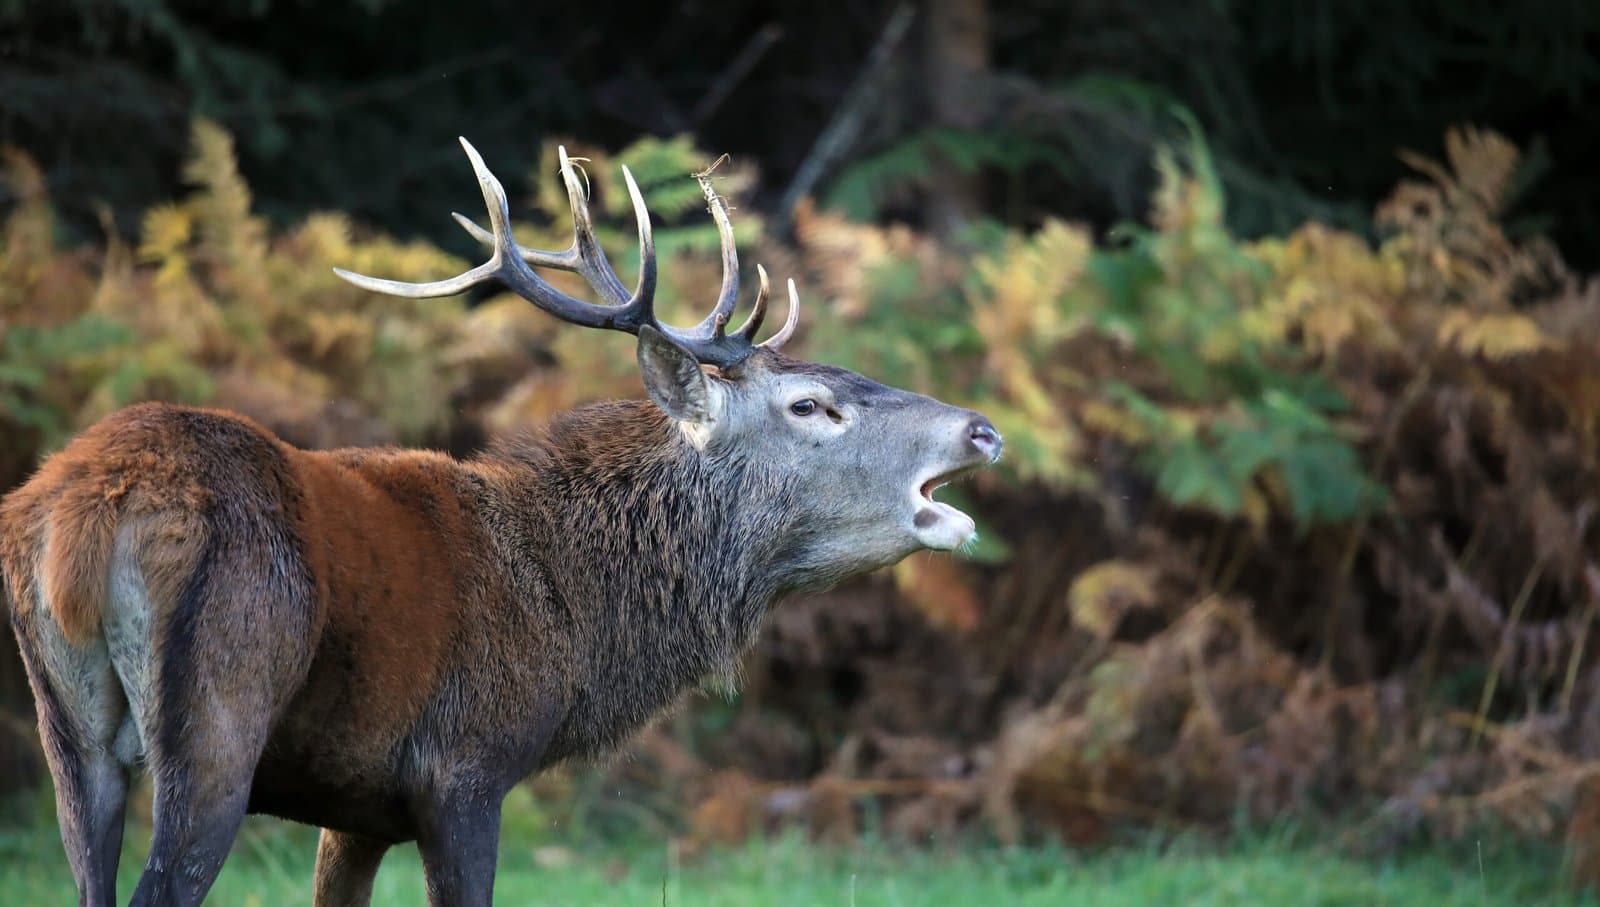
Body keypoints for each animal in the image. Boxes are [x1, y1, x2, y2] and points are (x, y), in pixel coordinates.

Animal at [0, 137, 1001, 907]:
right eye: (810, 405)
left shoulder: (355, 807)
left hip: (67, 731)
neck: (574, 616)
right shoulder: (464, 766)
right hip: (219, 711)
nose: (981, 427)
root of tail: (83, 513)